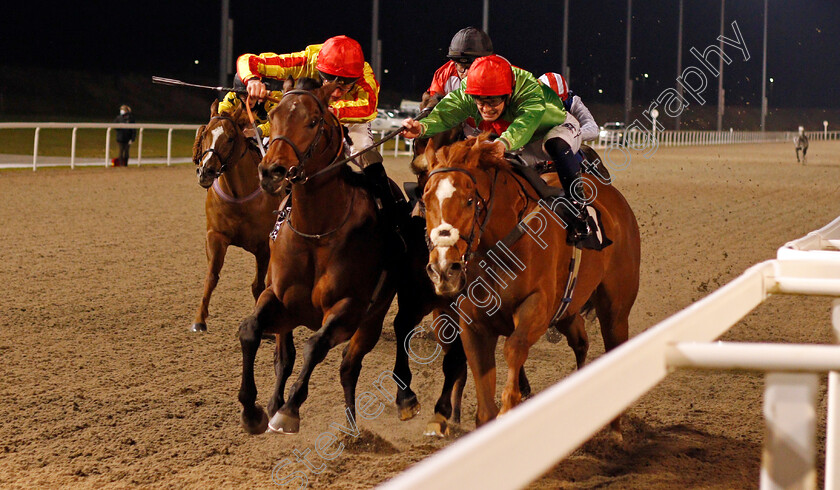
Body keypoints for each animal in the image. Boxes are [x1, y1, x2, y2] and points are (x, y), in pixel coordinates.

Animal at [191, 102, 280, 334]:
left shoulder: (264, 246)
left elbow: (258, 285)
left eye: (230, 138)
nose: (205, 172)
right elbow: (211, 277)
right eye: (206, 133)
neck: (238, 197)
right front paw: (199, 320)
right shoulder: (216, 236)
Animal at [235, 78, 420, 434]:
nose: (272, 172)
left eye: (312, 121)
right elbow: (251, 330)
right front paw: (253, 411)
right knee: (288, 359)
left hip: (375, 317)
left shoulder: (350, 308)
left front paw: (289, 411)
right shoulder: (279, 299)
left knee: (353, 363)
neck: (316, 231)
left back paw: (369, 419)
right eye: (273, 115)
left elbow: (316, 346)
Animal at [424, 133, 640, 432]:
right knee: (581, 340)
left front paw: (508, 409)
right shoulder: (473, 324)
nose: (444, 269)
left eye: (469, 200)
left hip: (615, 309)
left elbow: (514, 347)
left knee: (614, 345)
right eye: (425, 199)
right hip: (569, 310)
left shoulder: (538, 306)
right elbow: (483, 401)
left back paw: (615, 431)